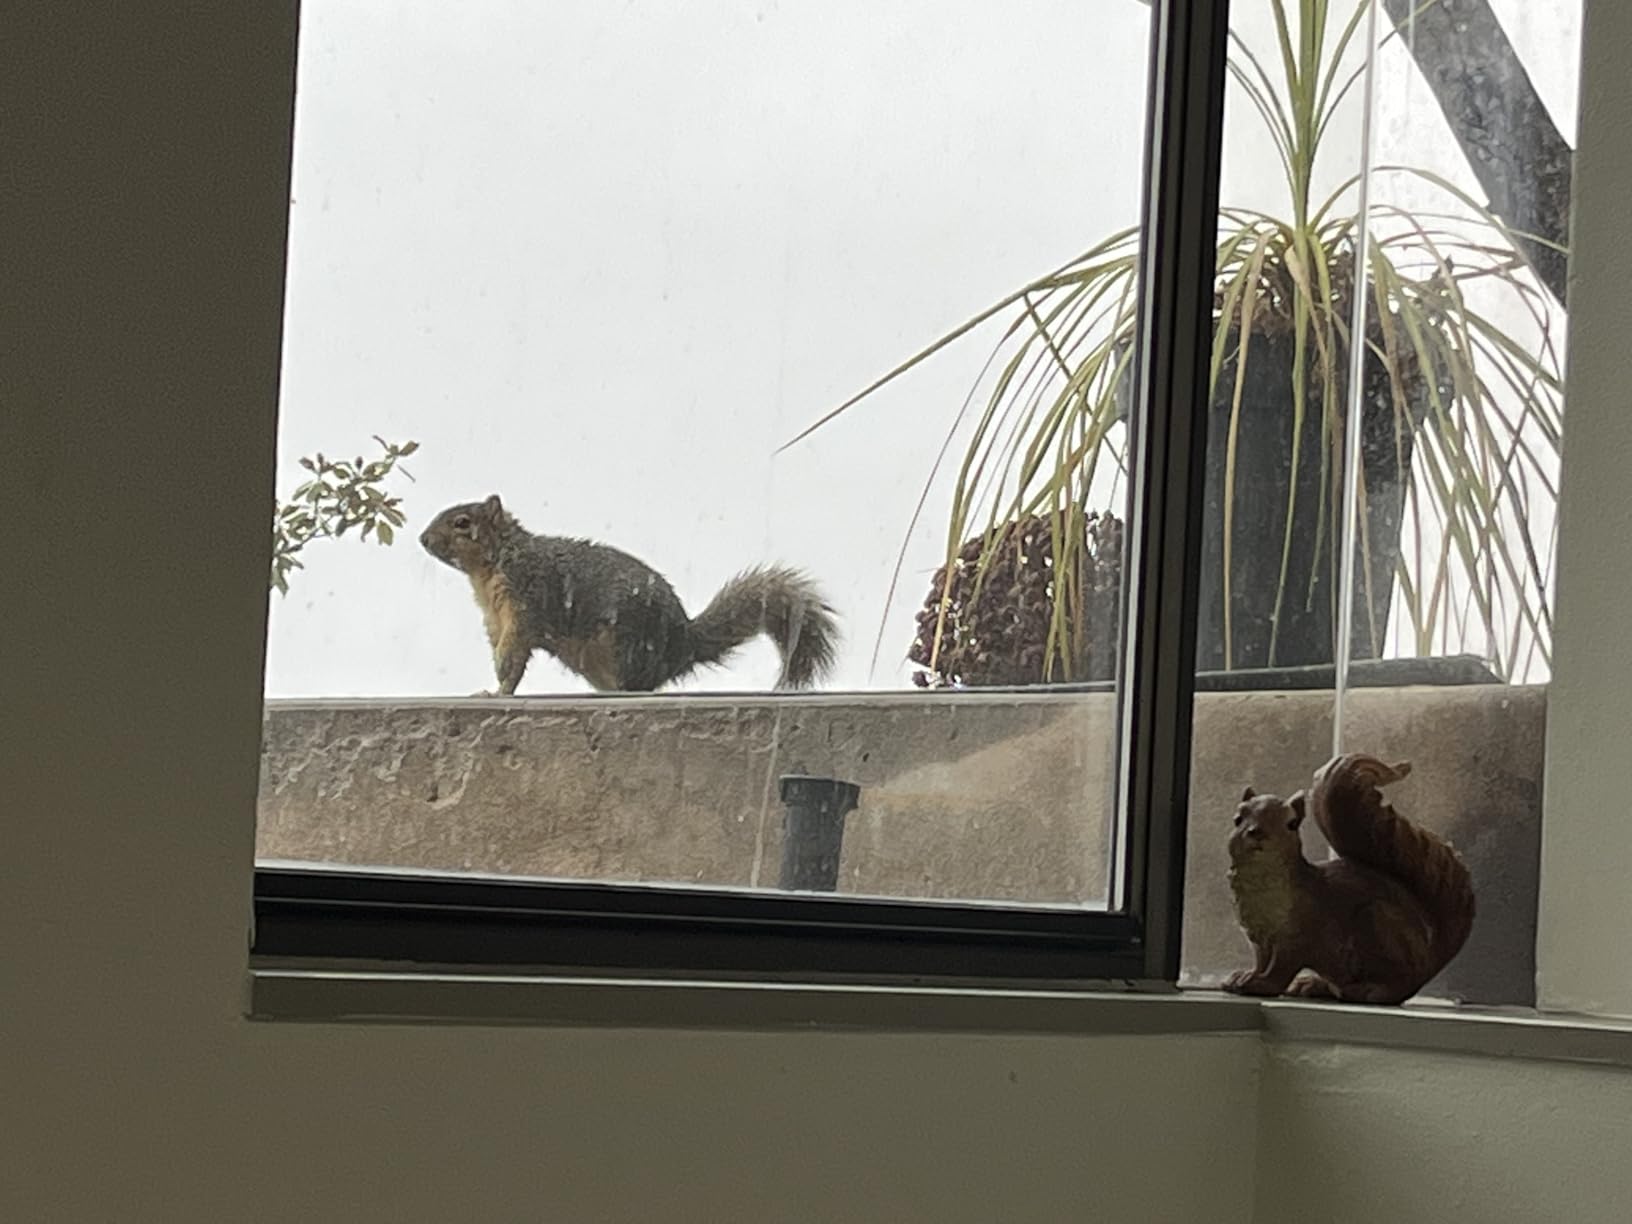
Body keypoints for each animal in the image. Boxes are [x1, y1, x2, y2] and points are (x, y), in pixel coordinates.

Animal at [419, 494, 839, 695]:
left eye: (462, 523)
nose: (423, 539)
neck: (494, 564)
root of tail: (682, 645)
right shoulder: (495, 616)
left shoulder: (525, 598)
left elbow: (514, 655)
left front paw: (498, 690)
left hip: (625, 644)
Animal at [1223, 752, 1475, 1005]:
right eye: (1237, 818)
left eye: (1292, 824)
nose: (1256, 833)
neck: (1260, 880)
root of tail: (1431, 960)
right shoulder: (1259, 939)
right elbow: (1262, 962)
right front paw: (1244, 977)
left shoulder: (1298, 934)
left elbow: (1280, 967)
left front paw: (1261, 984)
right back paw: (1311, 984)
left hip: (1378, 924)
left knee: (1400, 986)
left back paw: (1369, 990)